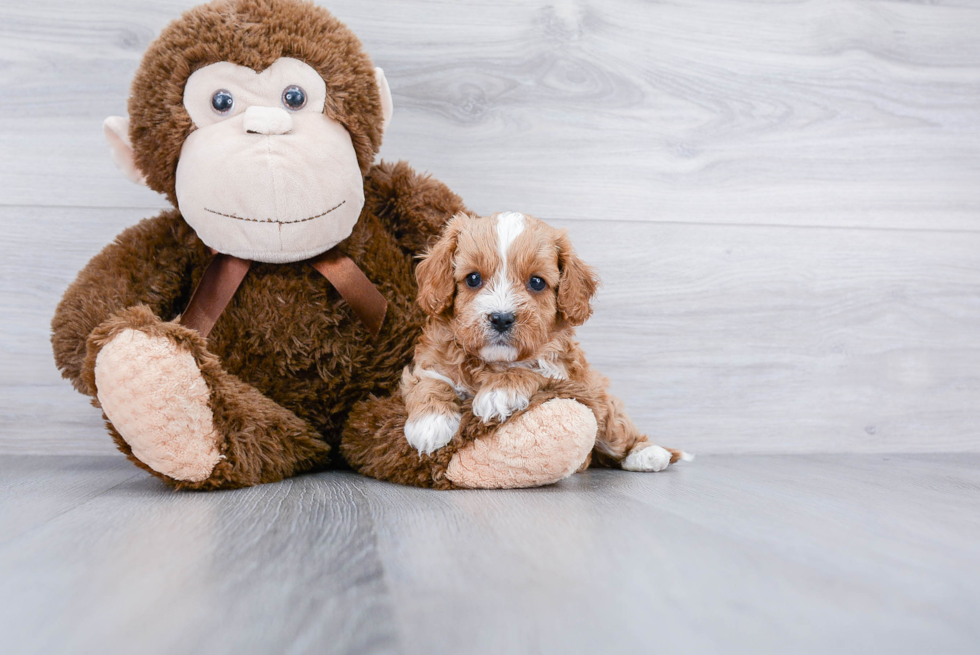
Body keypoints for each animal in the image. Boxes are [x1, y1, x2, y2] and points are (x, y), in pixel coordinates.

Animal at [398, 213, 688, 474]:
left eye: (536, 282)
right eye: (473, 278)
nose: (501, 318)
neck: (493, 362)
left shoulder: (561, 373)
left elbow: (529, 371)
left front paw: (498, 392)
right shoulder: (430, 360)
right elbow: (430, 381)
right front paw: (430, 423)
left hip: (599, 399)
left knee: (617, 431)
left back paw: (648, 454)